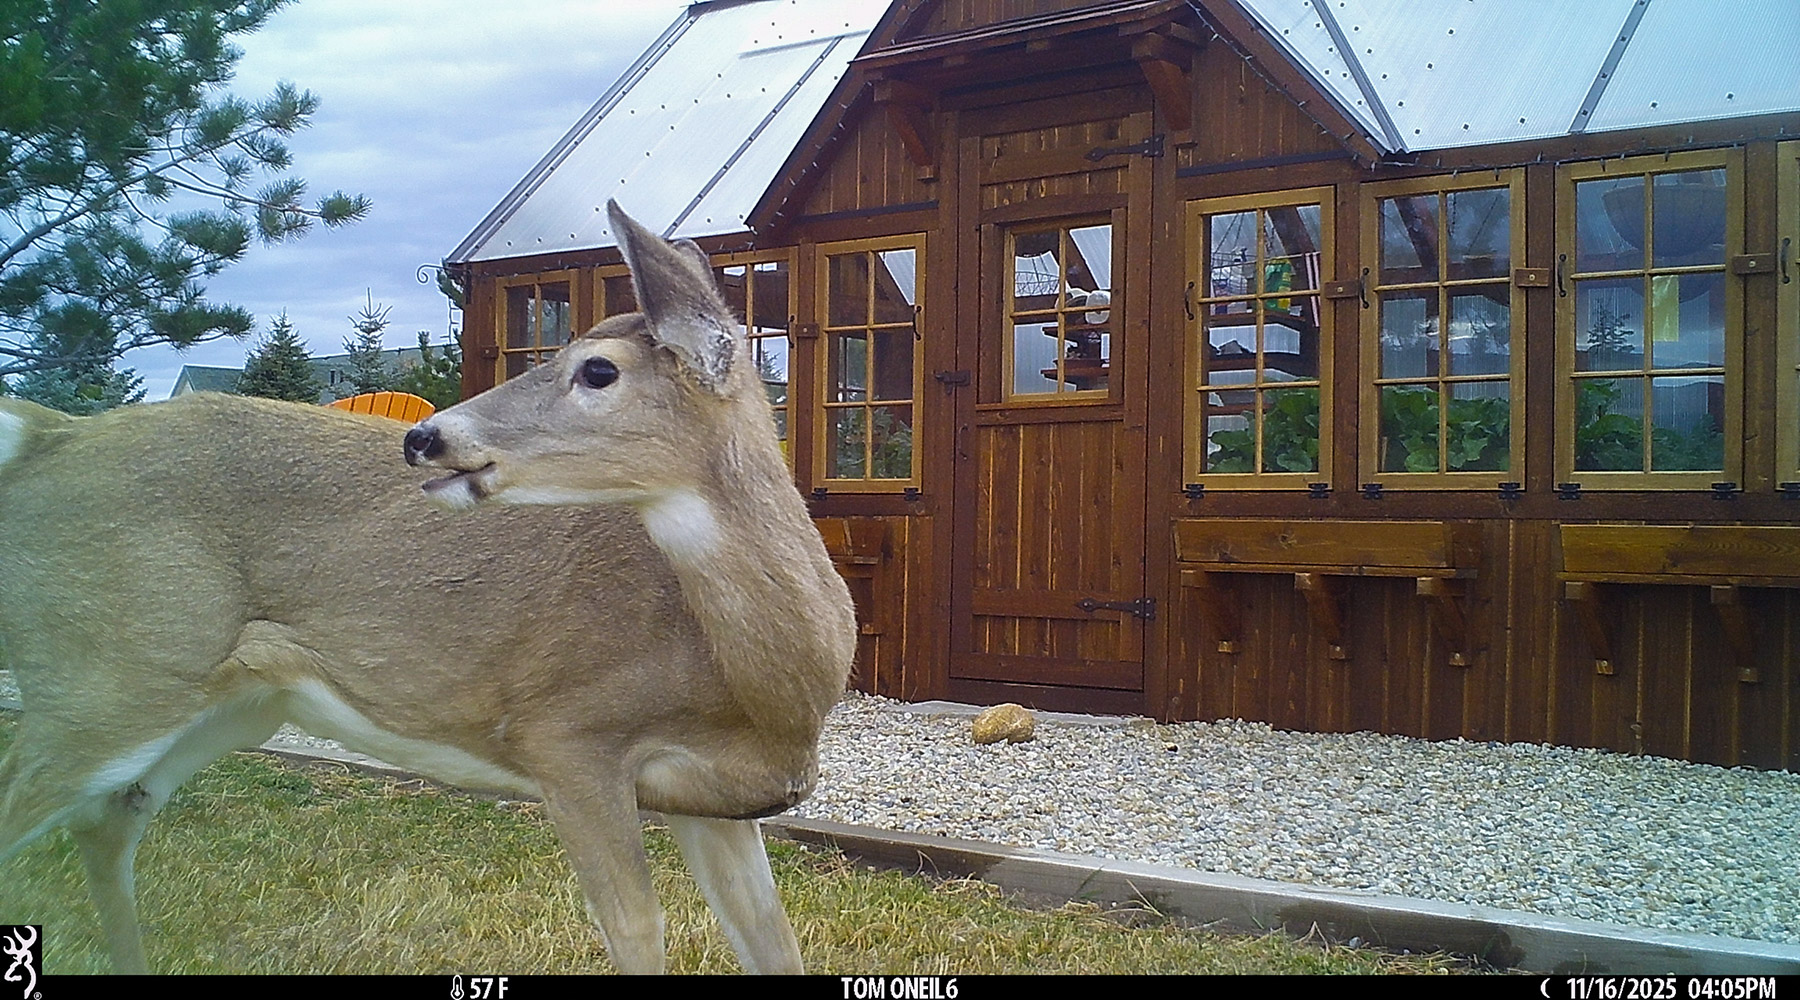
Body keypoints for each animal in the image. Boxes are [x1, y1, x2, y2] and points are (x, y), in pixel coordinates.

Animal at [0, 202, 857, 974]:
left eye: (598, 369)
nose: (423, 435)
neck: (762, 687)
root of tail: (48, 439)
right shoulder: (566, 738)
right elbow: (640, 936)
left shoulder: (714, 802)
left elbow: (776, 943)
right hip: (108, 672)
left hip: (225, 700)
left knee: (109, 820)